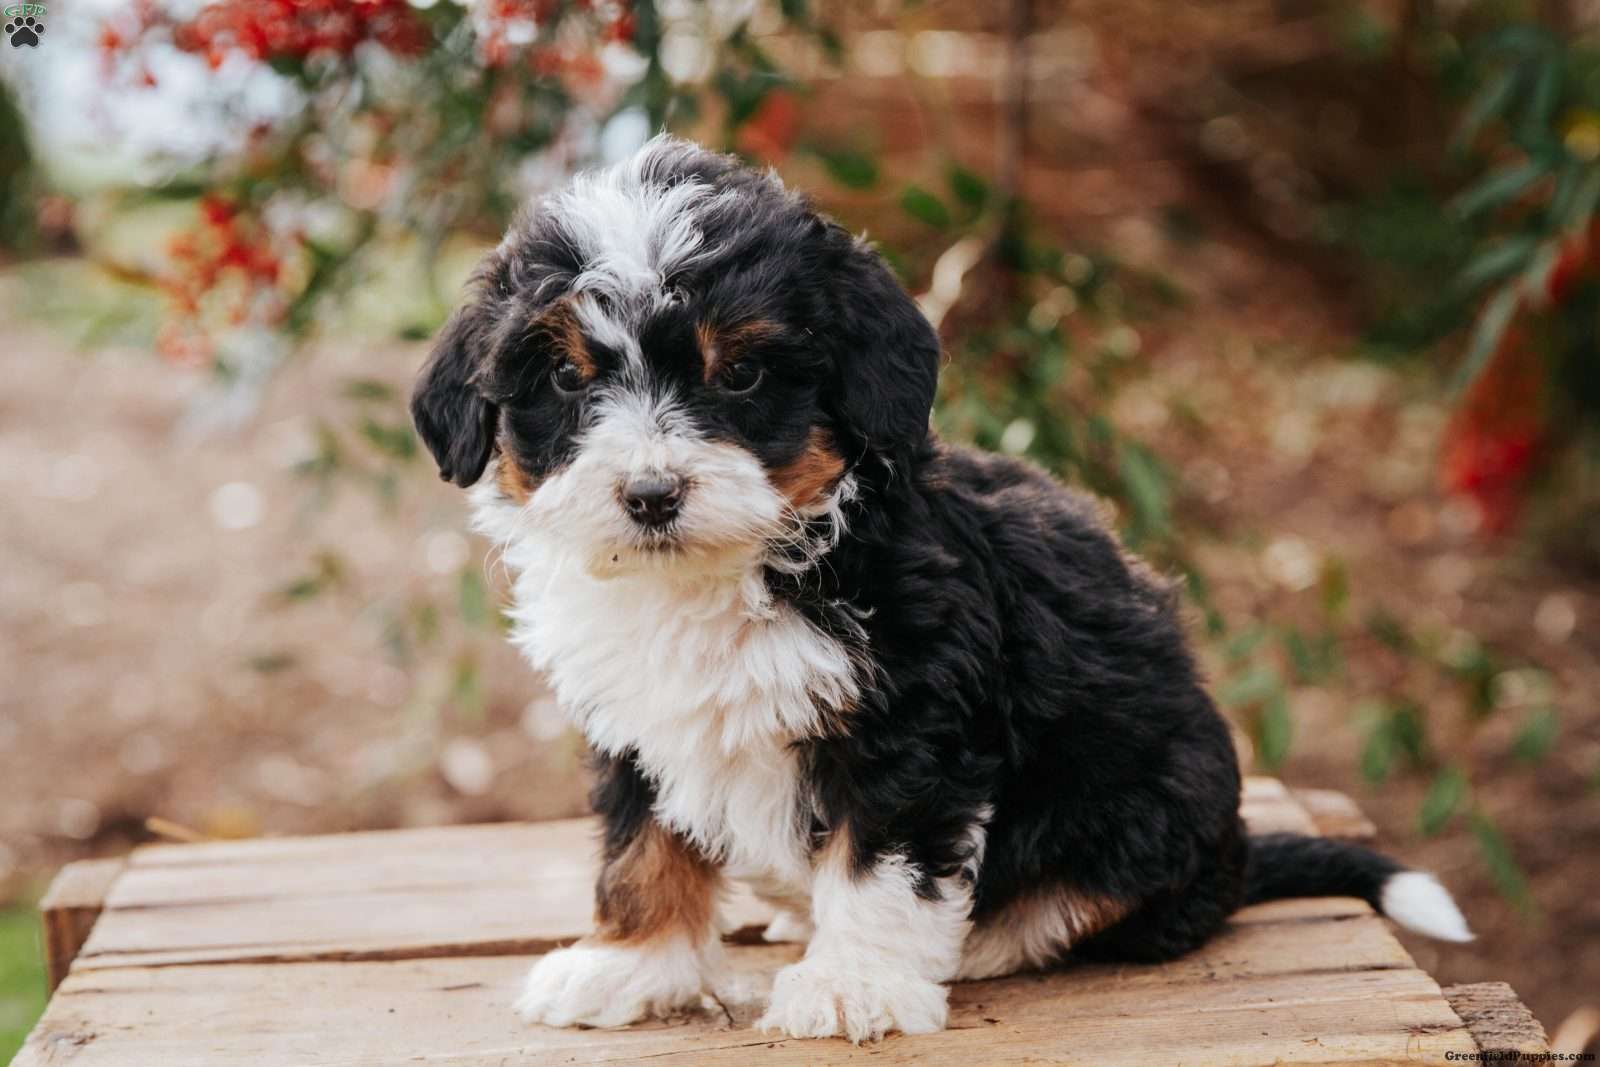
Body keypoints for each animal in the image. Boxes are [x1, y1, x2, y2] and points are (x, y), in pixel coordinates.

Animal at [406, 135, 1465, 1043]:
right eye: (567, 380)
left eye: (740, 373)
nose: (651, 494)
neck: (729, 571)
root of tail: (1235, 851)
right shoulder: (638, 723)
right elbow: (641, 844)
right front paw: (631, 962)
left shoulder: (910, 717)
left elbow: (881, 861)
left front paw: (854, 984)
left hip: (1153, 798)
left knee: (1112, 901)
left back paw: (985, 935)